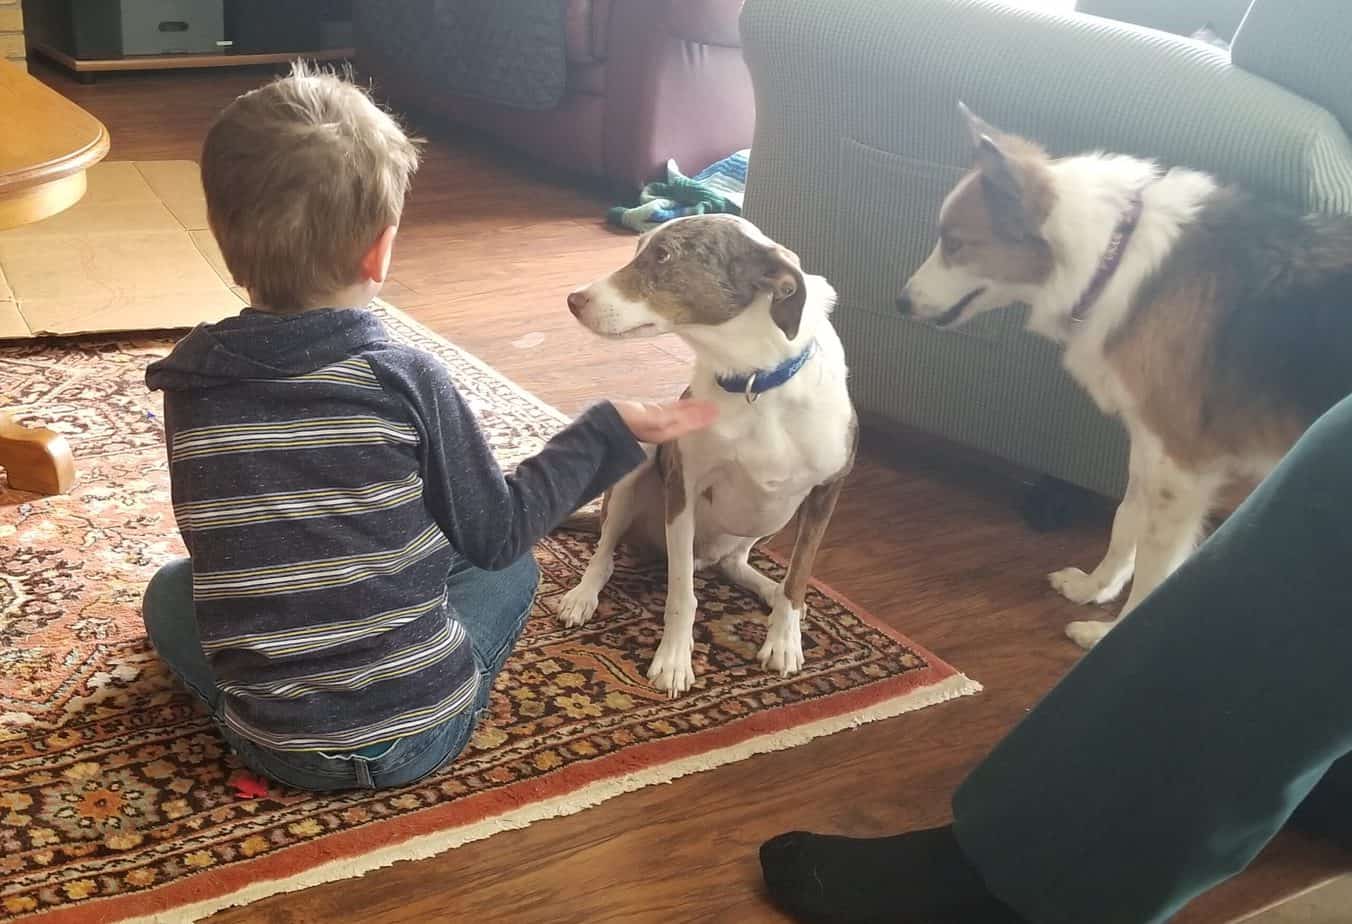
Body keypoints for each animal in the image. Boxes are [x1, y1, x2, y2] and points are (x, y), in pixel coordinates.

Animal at [559, 213, 854, 698]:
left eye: (663, 256)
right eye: (640, 248)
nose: (573, 299)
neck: (752, 379)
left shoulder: (827, 492)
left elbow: (799, 575)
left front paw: (783, 641)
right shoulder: (684, 489)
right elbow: (683, 593)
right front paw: (674, 661)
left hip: (771, 520)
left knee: (736, 564)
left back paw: (769, 591)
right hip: (639, 457)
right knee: (606, 550)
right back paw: (583, 596)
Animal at [897, 102, 1352, 649]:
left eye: (956, 244)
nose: (899, 303)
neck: (1110, 259)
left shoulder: (1179, 471)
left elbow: (1156, 568)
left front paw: (1111, 634)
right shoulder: (1146, 445)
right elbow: (1123, 521)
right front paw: (1095, 588)